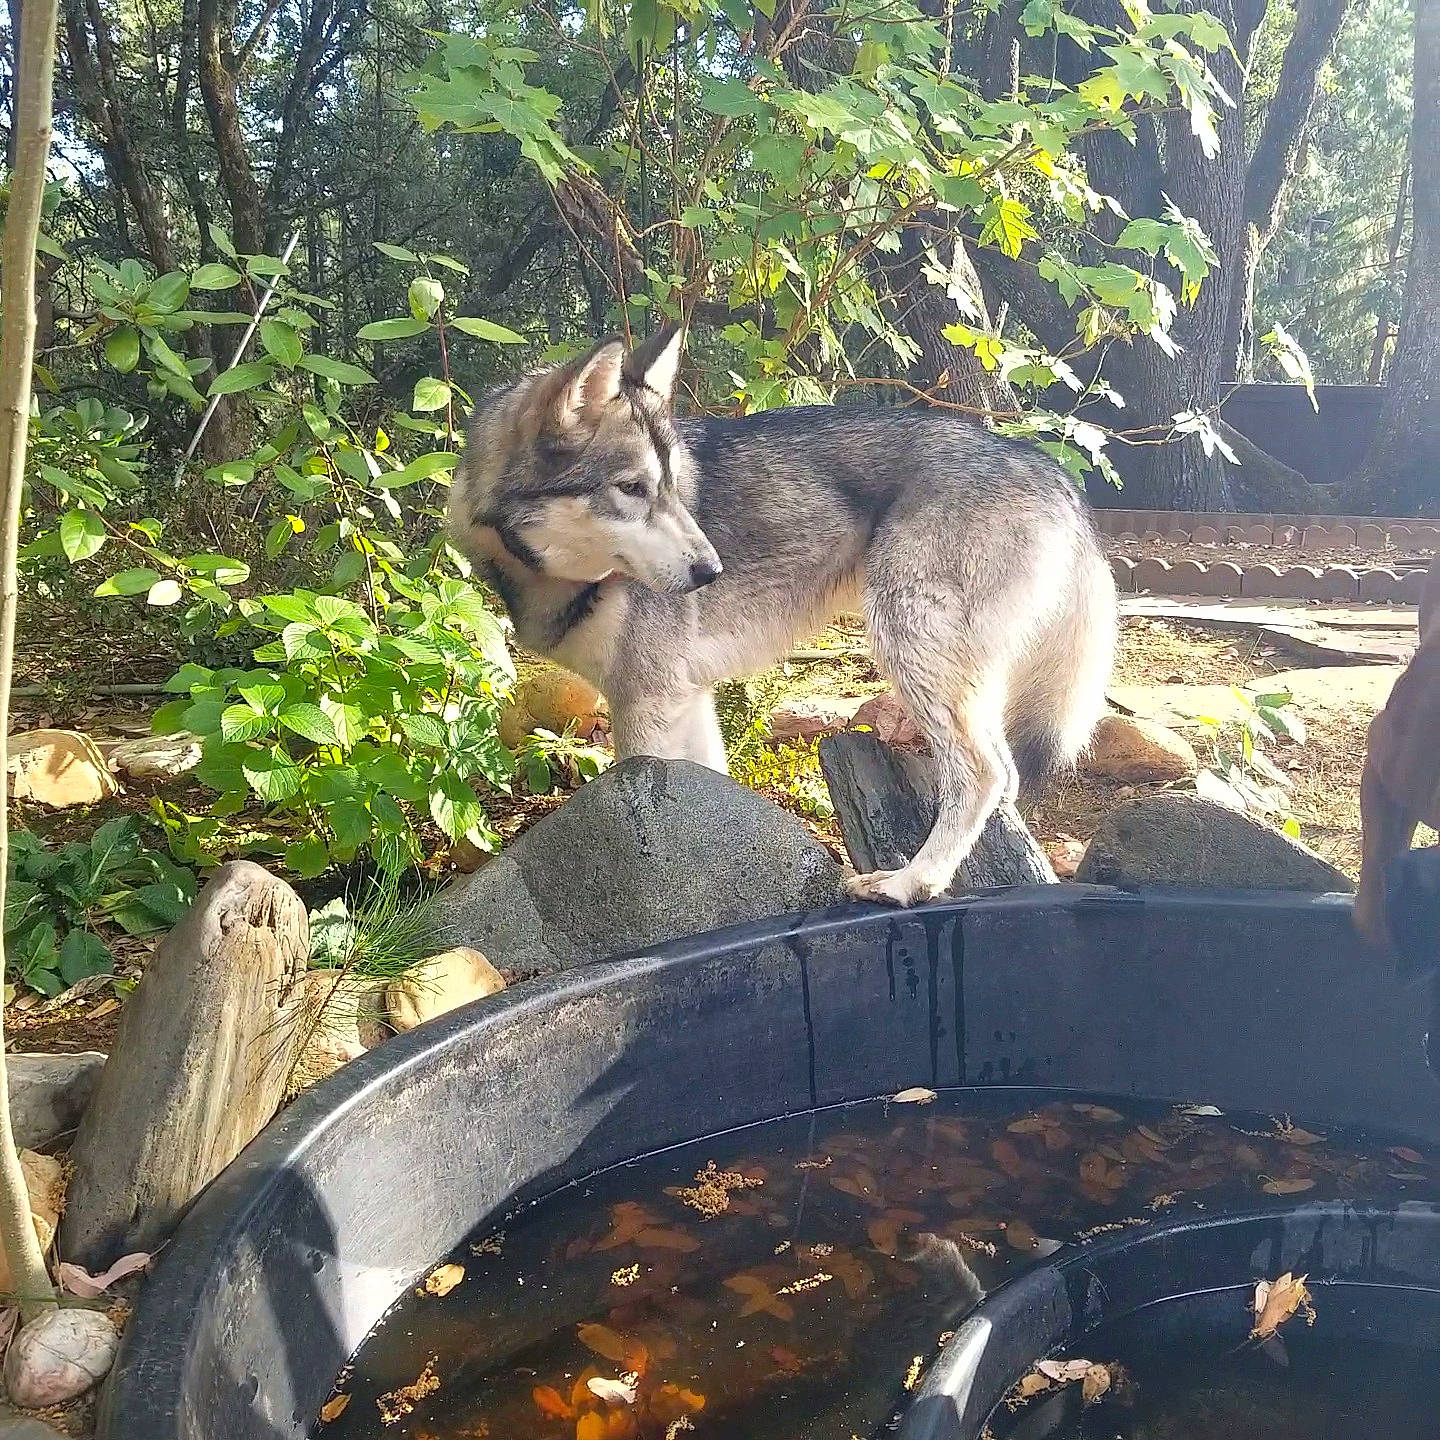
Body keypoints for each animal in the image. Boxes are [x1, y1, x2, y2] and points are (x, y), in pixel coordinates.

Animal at [448, 325, 1117, 906]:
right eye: (633, 489)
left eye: (671, 488)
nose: (711, 572)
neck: (554, 577)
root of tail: (1050, 470)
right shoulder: (685, 698)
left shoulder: (645, 705)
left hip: (909, 649)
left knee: (986, 774)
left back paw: (909, 883)